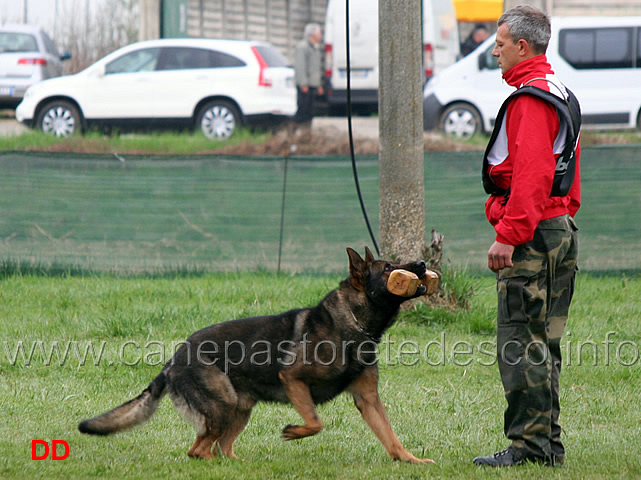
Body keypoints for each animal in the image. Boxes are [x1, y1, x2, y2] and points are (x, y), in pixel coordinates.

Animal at [77, 249, 432, 464]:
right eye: (388, 268)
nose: (422, 266)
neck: (354, 323)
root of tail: (172, 361)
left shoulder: (368, 399)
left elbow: (391, 437)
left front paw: (411, 460)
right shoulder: (293, 379)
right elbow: (315, 422)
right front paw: (294, 432)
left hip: (239, 409)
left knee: (220, 448)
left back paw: (236, 464)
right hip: (222, 407)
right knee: (198, 450)